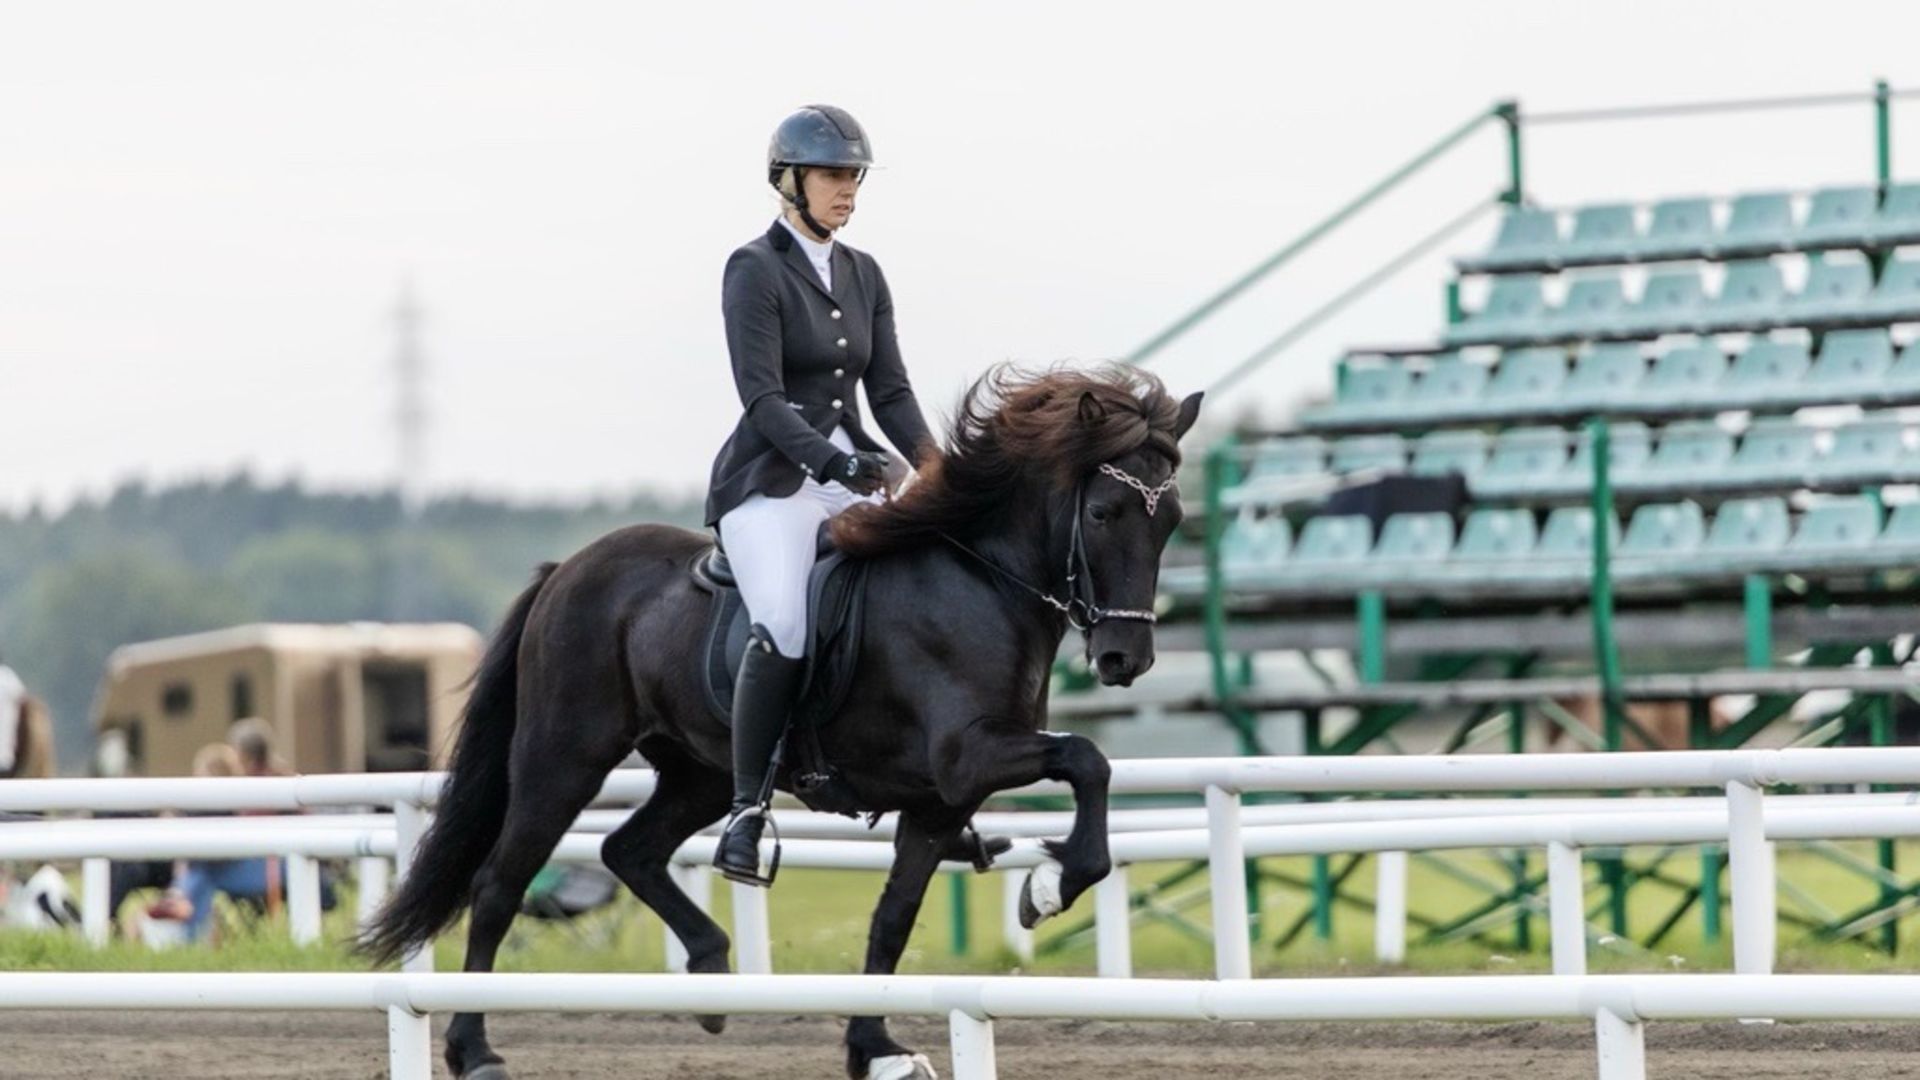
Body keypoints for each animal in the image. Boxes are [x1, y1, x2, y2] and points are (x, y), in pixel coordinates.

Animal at [360, 363, 1198, 1076]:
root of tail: (568, 569)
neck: (980, 582)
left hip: (698, 771)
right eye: (1103, 511)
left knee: (631, 850)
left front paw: (875, 1047)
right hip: (563, 758)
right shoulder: (968, 757)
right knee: (502, 882)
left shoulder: (937, 801)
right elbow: (1087, 758)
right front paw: (1050, 888)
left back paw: (710, 973)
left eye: (1172, 522)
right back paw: (474, 1049)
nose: (1125, 658)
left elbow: (894, 917)